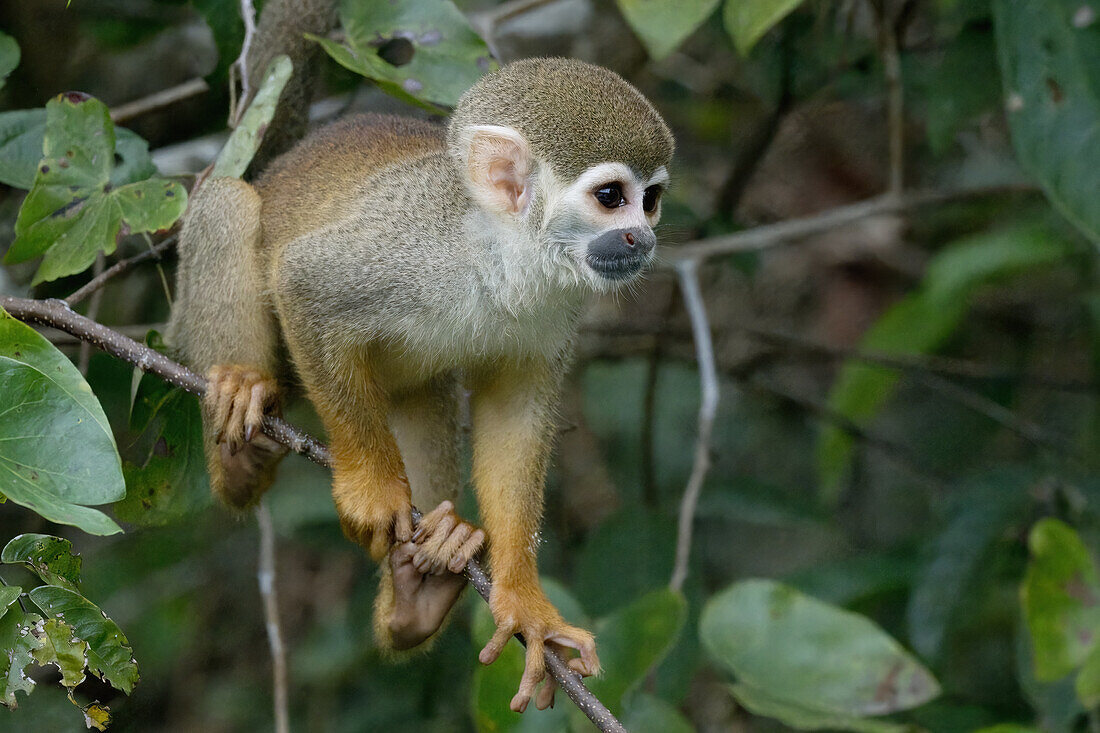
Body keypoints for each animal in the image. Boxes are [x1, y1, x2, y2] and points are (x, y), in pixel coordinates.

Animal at [168, 57, 673, 708]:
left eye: (651, 200)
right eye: (611, 198)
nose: (645, 237)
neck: (501, 252)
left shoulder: (558, 307)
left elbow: (515, 412)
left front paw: (522, 598)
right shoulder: (408, 248)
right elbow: (305, 284)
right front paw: (372, 487)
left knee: (424, 391)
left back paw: (417, 595)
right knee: (228, 201)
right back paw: (240, 437)